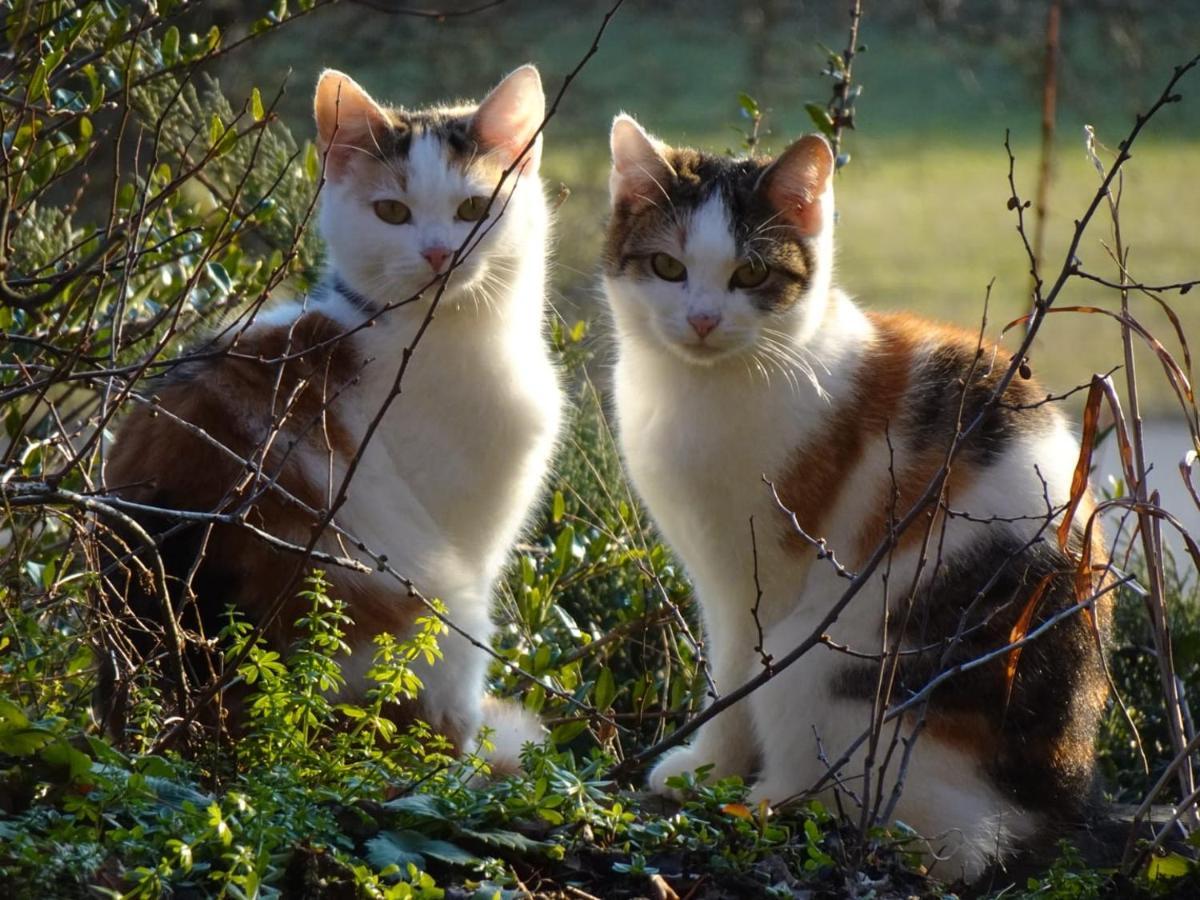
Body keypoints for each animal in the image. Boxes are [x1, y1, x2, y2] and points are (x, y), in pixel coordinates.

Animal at [604, 116, 1108, 883]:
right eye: (667, 267)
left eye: (751, 275)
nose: (702, 320)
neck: (704, 385)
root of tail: (1043, 811)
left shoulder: (754, 581)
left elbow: (732, 679)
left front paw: (710, 767)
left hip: (821, 661)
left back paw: (767, 801)